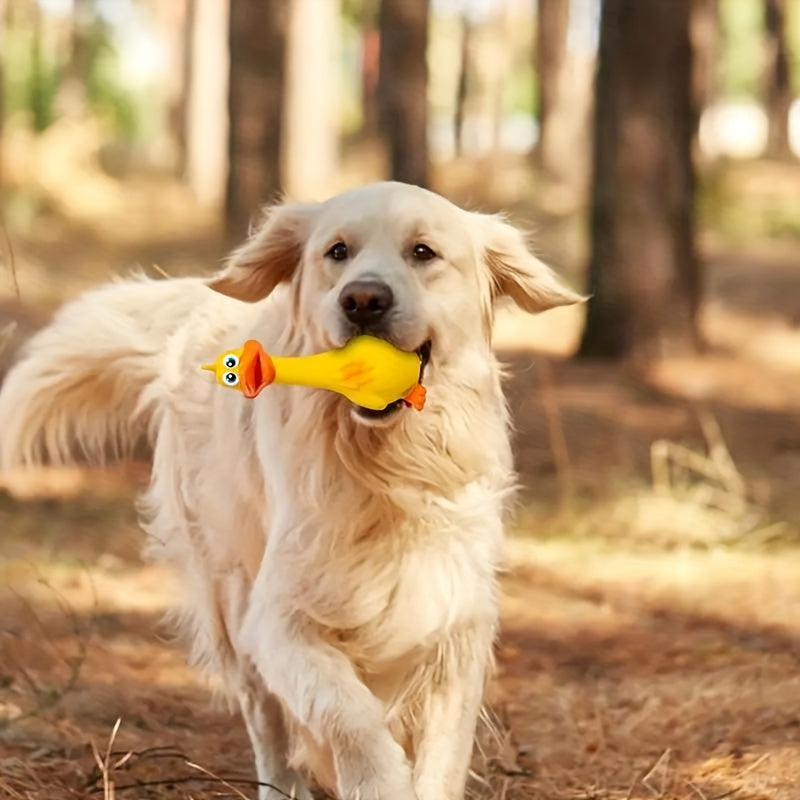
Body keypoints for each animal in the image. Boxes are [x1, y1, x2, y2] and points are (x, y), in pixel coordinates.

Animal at [0, 183, 580, 800]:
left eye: (423, 252)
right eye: (337, 252)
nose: (364, 300)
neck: (385, 467)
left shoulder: (456, 622)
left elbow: (441, 755)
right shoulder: (279, 618)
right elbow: (349, 715)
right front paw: (377, 780)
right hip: (232, 596)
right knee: (271, 736)